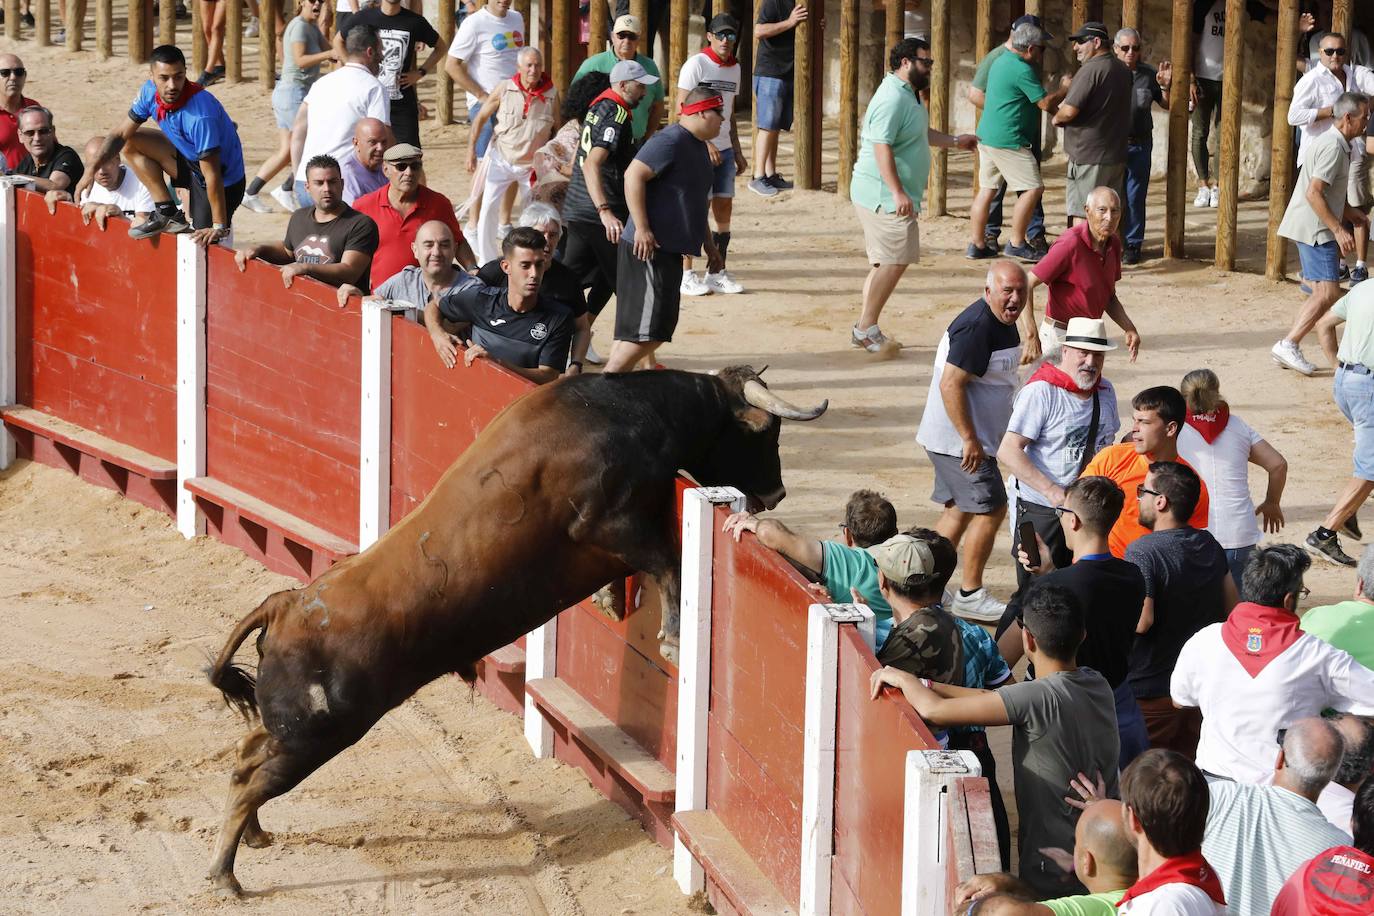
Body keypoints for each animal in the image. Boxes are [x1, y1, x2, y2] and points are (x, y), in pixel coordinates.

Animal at [203, 365, 824, 895]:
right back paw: (224, 874)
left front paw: (610, 600)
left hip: (292, 727)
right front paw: (672, 634)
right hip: (320, 731)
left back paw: (254, 837)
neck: (625, 411)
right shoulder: (611, 522)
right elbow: (667, 561)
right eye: (763, 433)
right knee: (251, 779)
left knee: (246, 755)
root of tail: (285, 604)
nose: (776, 494)